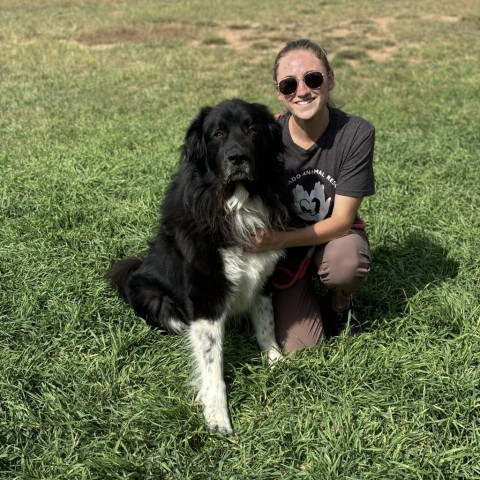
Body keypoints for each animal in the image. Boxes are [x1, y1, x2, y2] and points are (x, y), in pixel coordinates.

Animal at [108, 98, 288, 436]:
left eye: (253, 130)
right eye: (218, 134)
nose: (237, 158)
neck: (236, 204)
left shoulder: (264, 277)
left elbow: (266, 325)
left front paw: (276, 360)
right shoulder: (205, 297)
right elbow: (212, 363)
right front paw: (217, 418)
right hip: (154, 297)